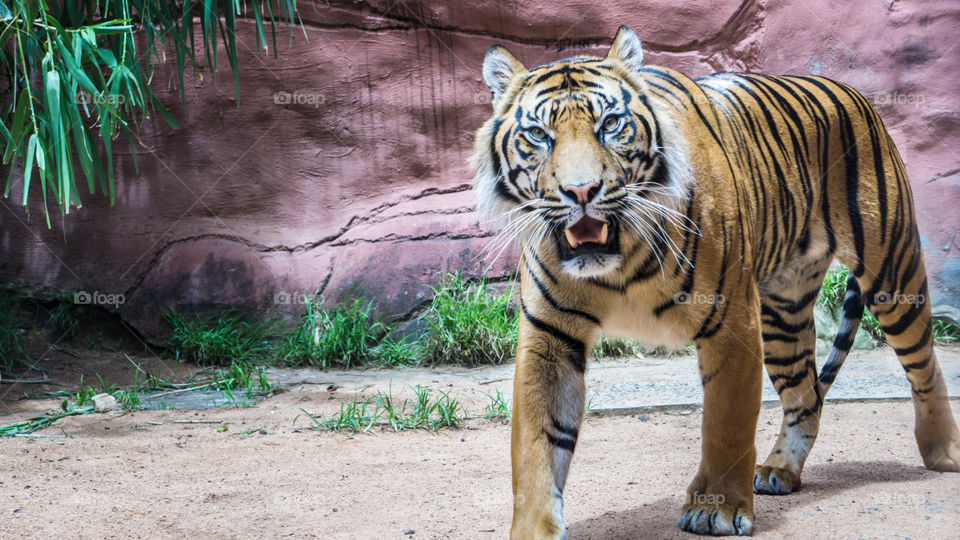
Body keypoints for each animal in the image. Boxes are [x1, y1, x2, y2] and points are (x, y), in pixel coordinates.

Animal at [470, 25, 960, 538]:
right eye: (538, 135)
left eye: (610, 124)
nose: (581, 191)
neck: (618, 263)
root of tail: (852, 90)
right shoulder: (550, 336)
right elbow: (536, 445)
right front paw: (534, 528)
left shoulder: (732, 321)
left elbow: (726, 423)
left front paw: (718, 509)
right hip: (783, 315)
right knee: (805, 394)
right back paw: (781, 469)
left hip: (892, 271)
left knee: (924, 363)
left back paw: (942, 450)